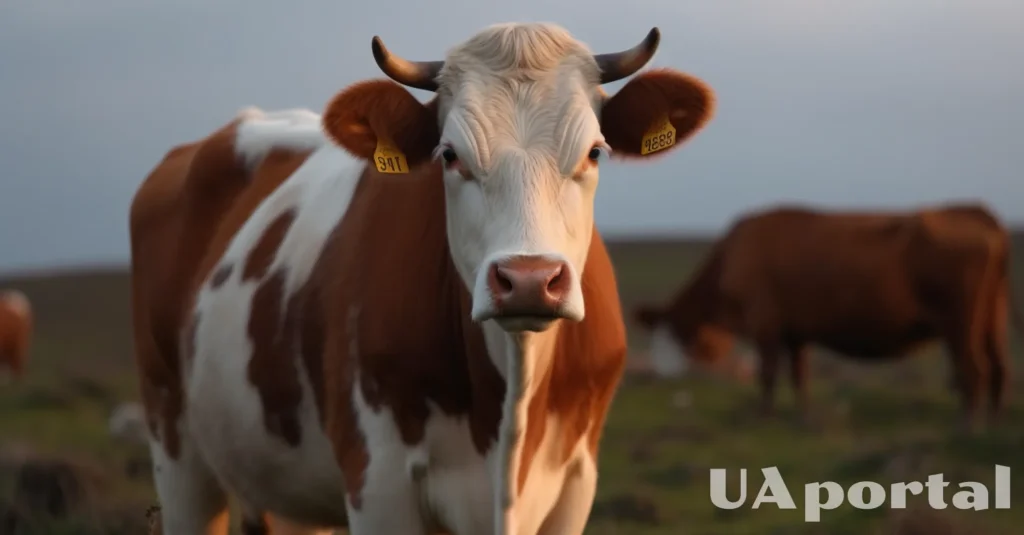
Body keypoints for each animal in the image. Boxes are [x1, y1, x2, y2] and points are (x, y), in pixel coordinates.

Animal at [129, 22, 717, 535]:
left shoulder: (574, 485)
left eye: (594, 151)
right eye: (450, 155)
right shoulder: (377, 485)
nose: (529, 279)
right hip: (176, 447)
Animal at [632, 203, 1021, 432]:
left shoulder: (765, 324)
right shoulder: (795, 333)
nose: (660, 374)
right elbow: (800, 376)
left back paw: (967, 427)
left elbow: (768, 375)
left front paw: (763, 417)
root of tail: (973, 211)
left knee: (974, 369)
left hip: (960, 324)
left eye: (677, 333)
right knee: (999, 367)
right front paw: (802, 417)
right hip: (992, 319)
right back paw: (994, 425)